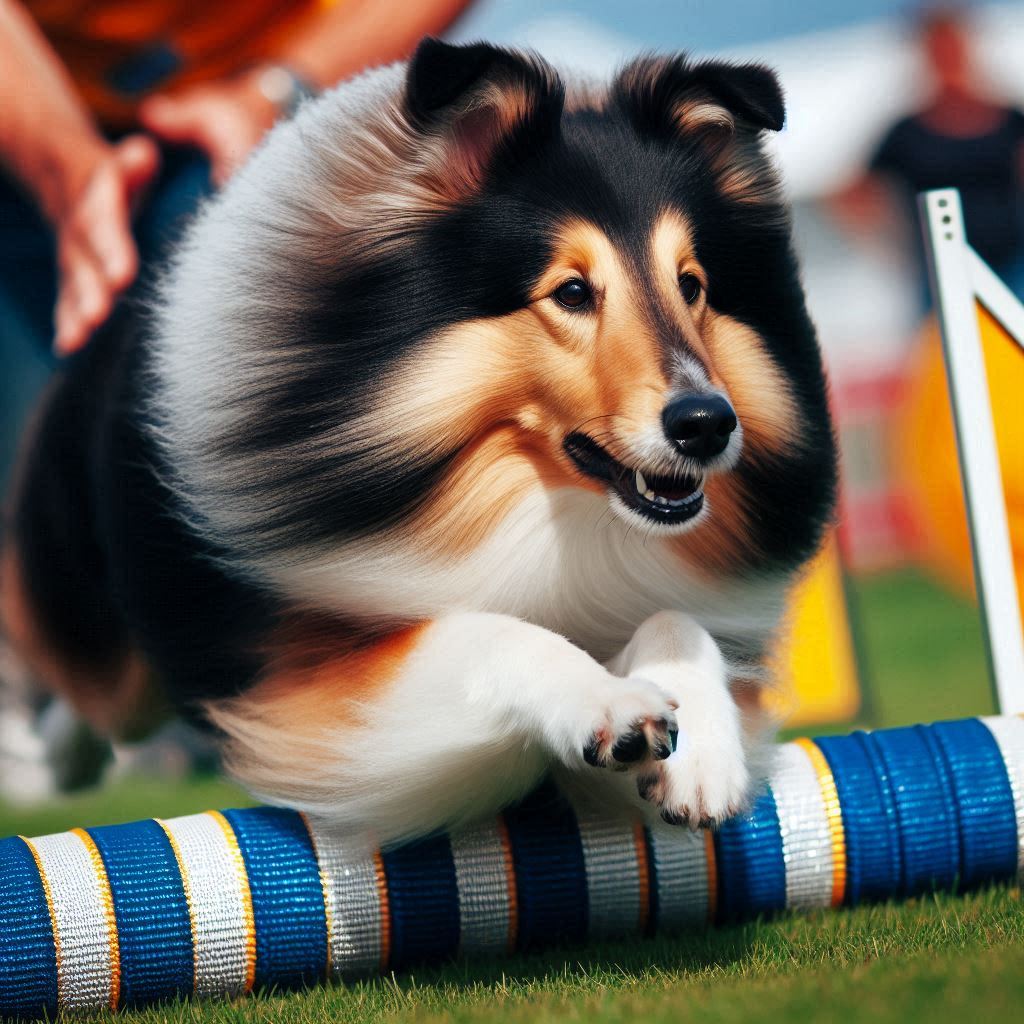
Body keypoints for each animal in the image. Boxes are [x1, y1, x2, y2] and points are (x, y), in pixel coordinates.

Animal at [0, 37, 835, 839]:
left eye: (692, 285)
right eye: (571, 291)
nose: (707, 424)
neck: (536, 505)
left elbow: (676, 621)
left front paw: (704, 754)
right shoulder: (316, 698)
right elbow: (483, 630)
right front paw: (606, 702)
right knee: (86, 689)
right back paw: (51, 759)